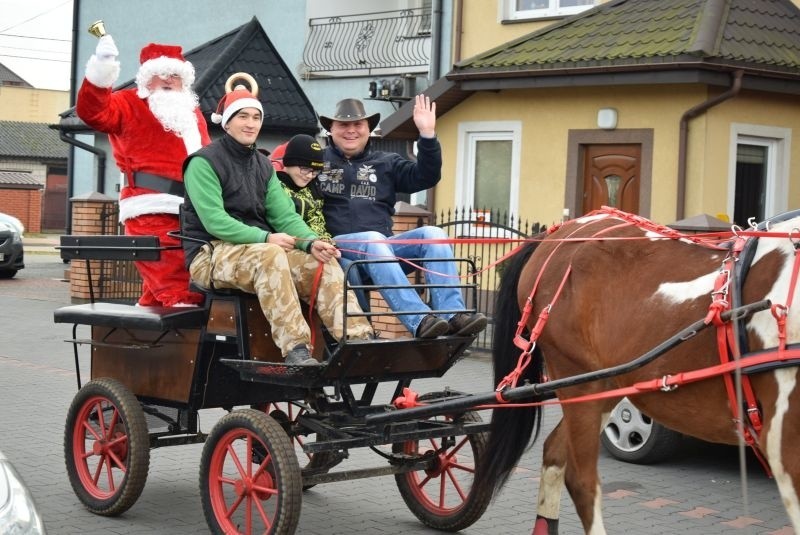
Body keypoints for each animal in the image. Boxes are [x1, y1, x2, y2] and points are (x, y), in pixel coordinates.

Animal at [476, 209, 800, 535]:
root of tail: (558, 234)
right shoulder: (784, 446)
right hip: (576, 380)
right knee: (581, 480)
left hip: (605, 384)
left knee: (555, 454)